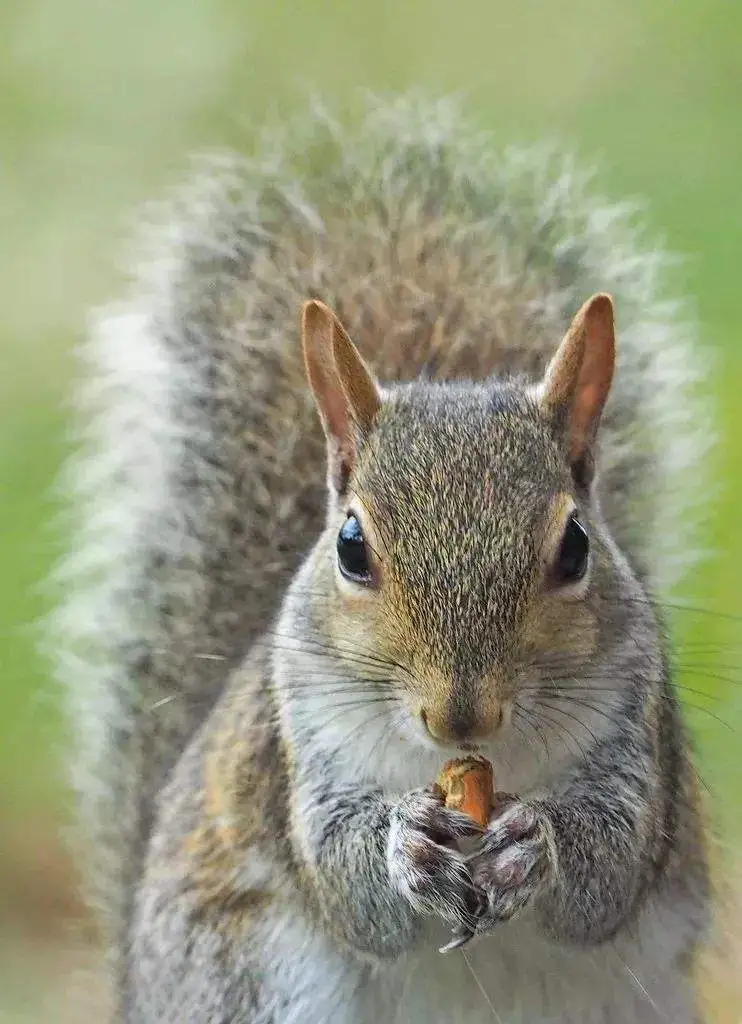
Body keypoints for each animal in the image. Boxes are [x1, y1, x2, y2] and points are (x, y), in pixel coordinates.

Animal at [55, 92, 716, 1019]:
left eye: (576, 546)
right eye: (351, 547)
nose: (461, 716)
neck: (472, 767)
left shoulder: (637, 736)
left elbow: (609, 876)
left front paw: (536, 843)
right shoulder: (297, 744)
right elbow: (346, 882)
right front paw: (404, 844)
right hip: (249, 984)